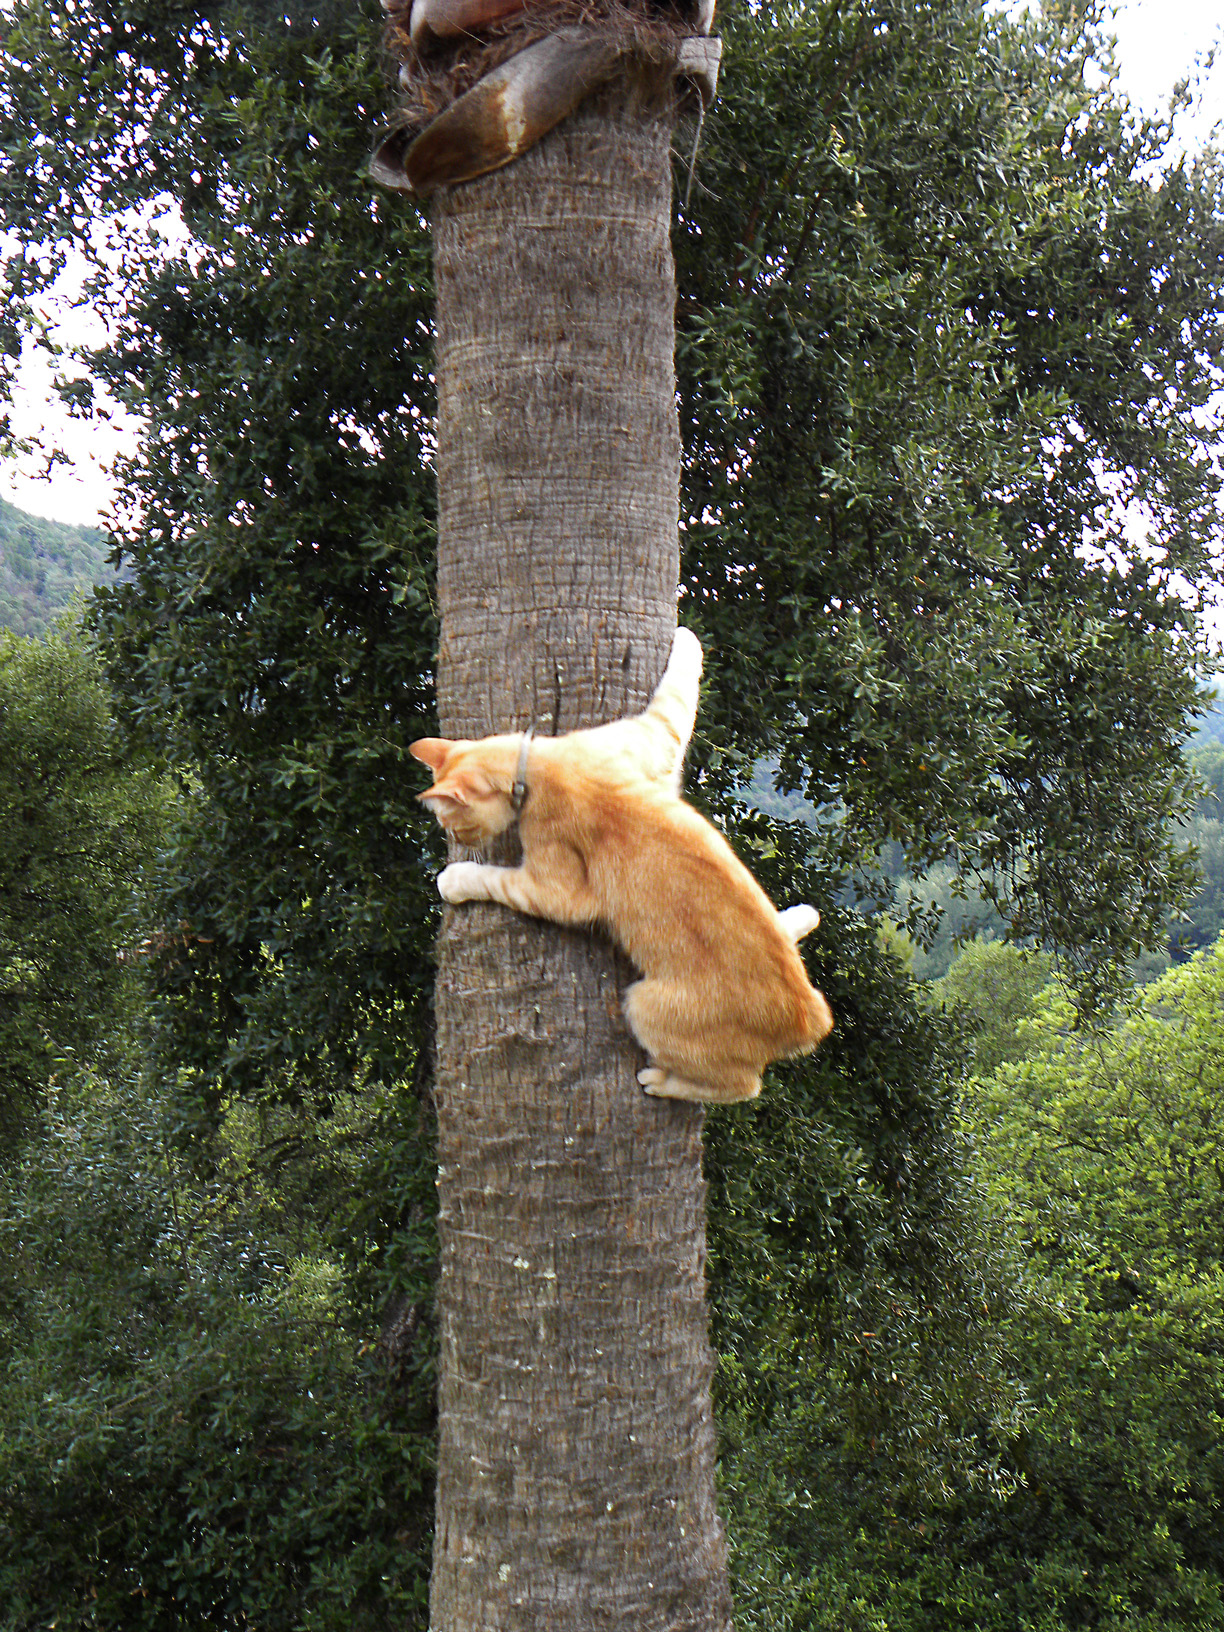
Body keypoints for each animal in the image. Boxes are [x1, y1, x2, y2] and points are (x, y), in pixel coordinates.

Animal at [412, 629, 835, 1103]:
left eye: (453, 824)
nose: (459, 843)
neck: (537, 765)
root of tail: (809, 1016)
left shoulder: (559, 892)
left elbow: (496, 881)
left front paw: (453, 878)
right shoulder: (654, 740)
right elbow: (677, 698)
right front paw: (688, 639)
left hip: (645, 1005)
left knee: (743, 1086)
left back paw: (661, 1082)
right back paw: (797, 918)